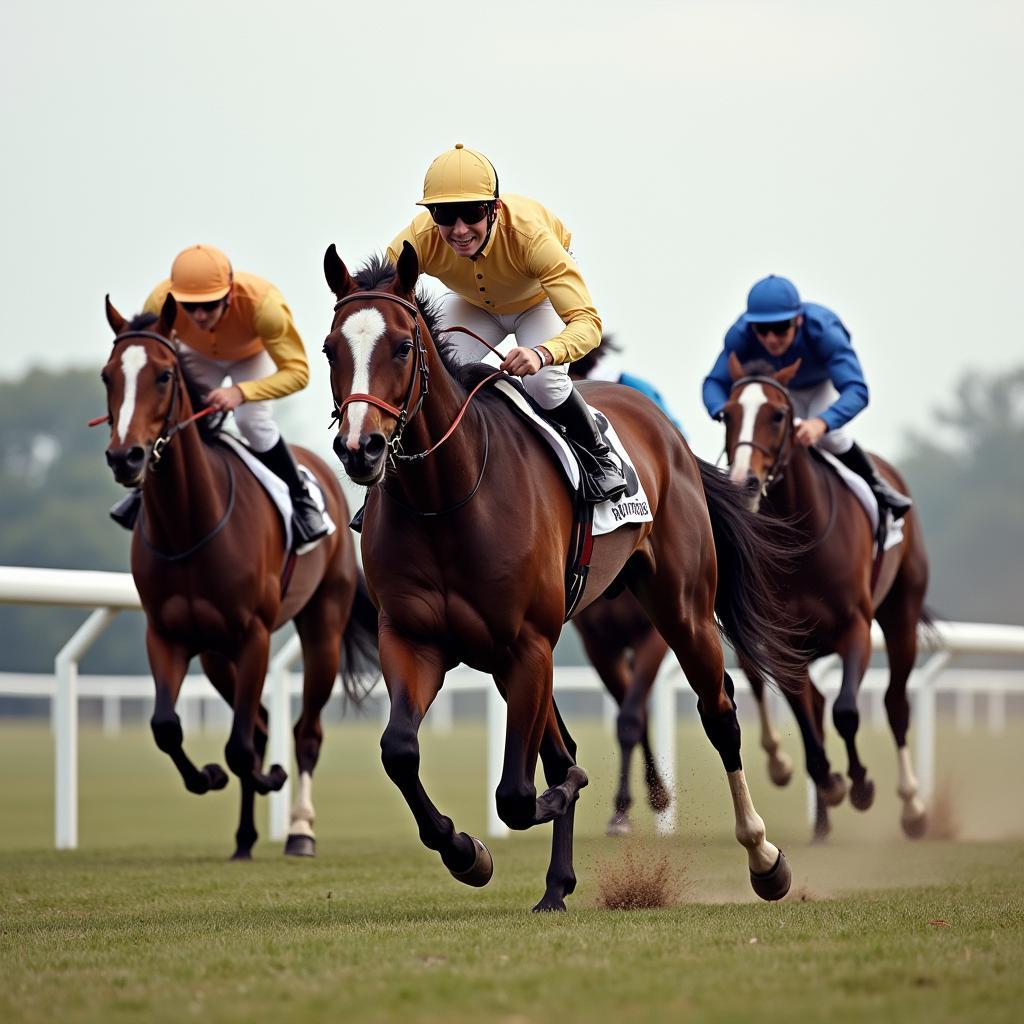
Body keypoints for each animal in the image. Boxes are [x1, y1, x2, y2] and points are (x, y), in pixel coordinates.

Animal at [98, 296, 380, 856]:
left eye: (164, 375)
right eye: (107, 376)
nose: (125, 456)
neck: (189, 527)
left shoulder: (254, 635)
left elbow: (240, 746)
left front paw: (267, 777)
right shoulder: (166, 634)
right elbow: (167, 727)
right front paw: (207, 776)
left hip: (322, 626)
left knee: (304, 732)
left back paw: (299, 831)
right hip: (214, 653)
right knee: (262, 723)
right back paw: (246, 837)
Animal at [323, 241, 811, 913]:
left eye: (400, 346)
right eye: (329, 349)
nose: (360, 449)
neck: (446, 499)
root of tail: (667, 432)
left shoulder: (528, 644)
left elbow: (521, 791)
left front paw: (551, 806)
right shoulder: (415, 639)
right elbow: (401, 751)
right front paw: (465, 851)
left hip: (682, 609)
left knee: (719, 714)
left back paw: (764, 858)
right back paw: (556, 887)